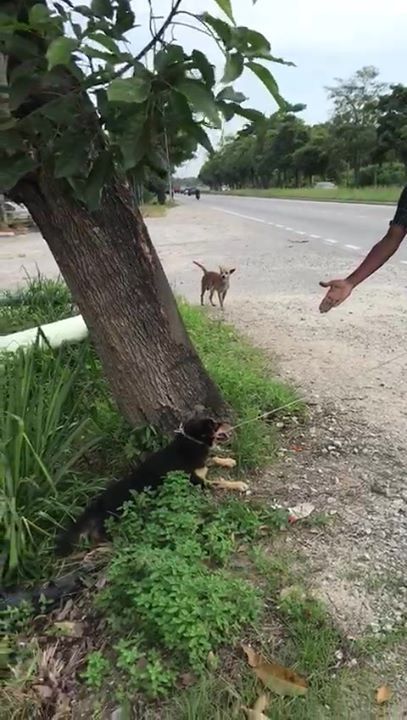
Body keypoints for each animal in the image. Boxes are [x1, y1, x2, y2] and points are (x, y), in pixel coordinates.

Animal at [55, 416, 231, 556]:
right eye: (216, 424)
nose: (228, 422)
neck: (190, 442)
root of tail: (99, 503)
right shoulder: (197, 482)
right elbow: (220, 481)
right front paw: (235, 483)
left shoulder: (201, 467)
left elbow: (212, 459)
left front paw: (228, 461)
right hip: (117, 517)